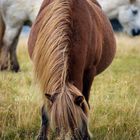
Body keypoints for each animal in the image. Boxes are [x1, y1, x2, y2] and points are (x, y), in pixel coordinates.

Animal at [27, 0, 116, 139]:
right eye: (57, 127)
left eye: (76, 125)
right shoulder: (43, 72)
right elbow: (45, 108)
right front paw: (41, 136)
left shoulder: (89, 72)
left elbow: (85, 105)